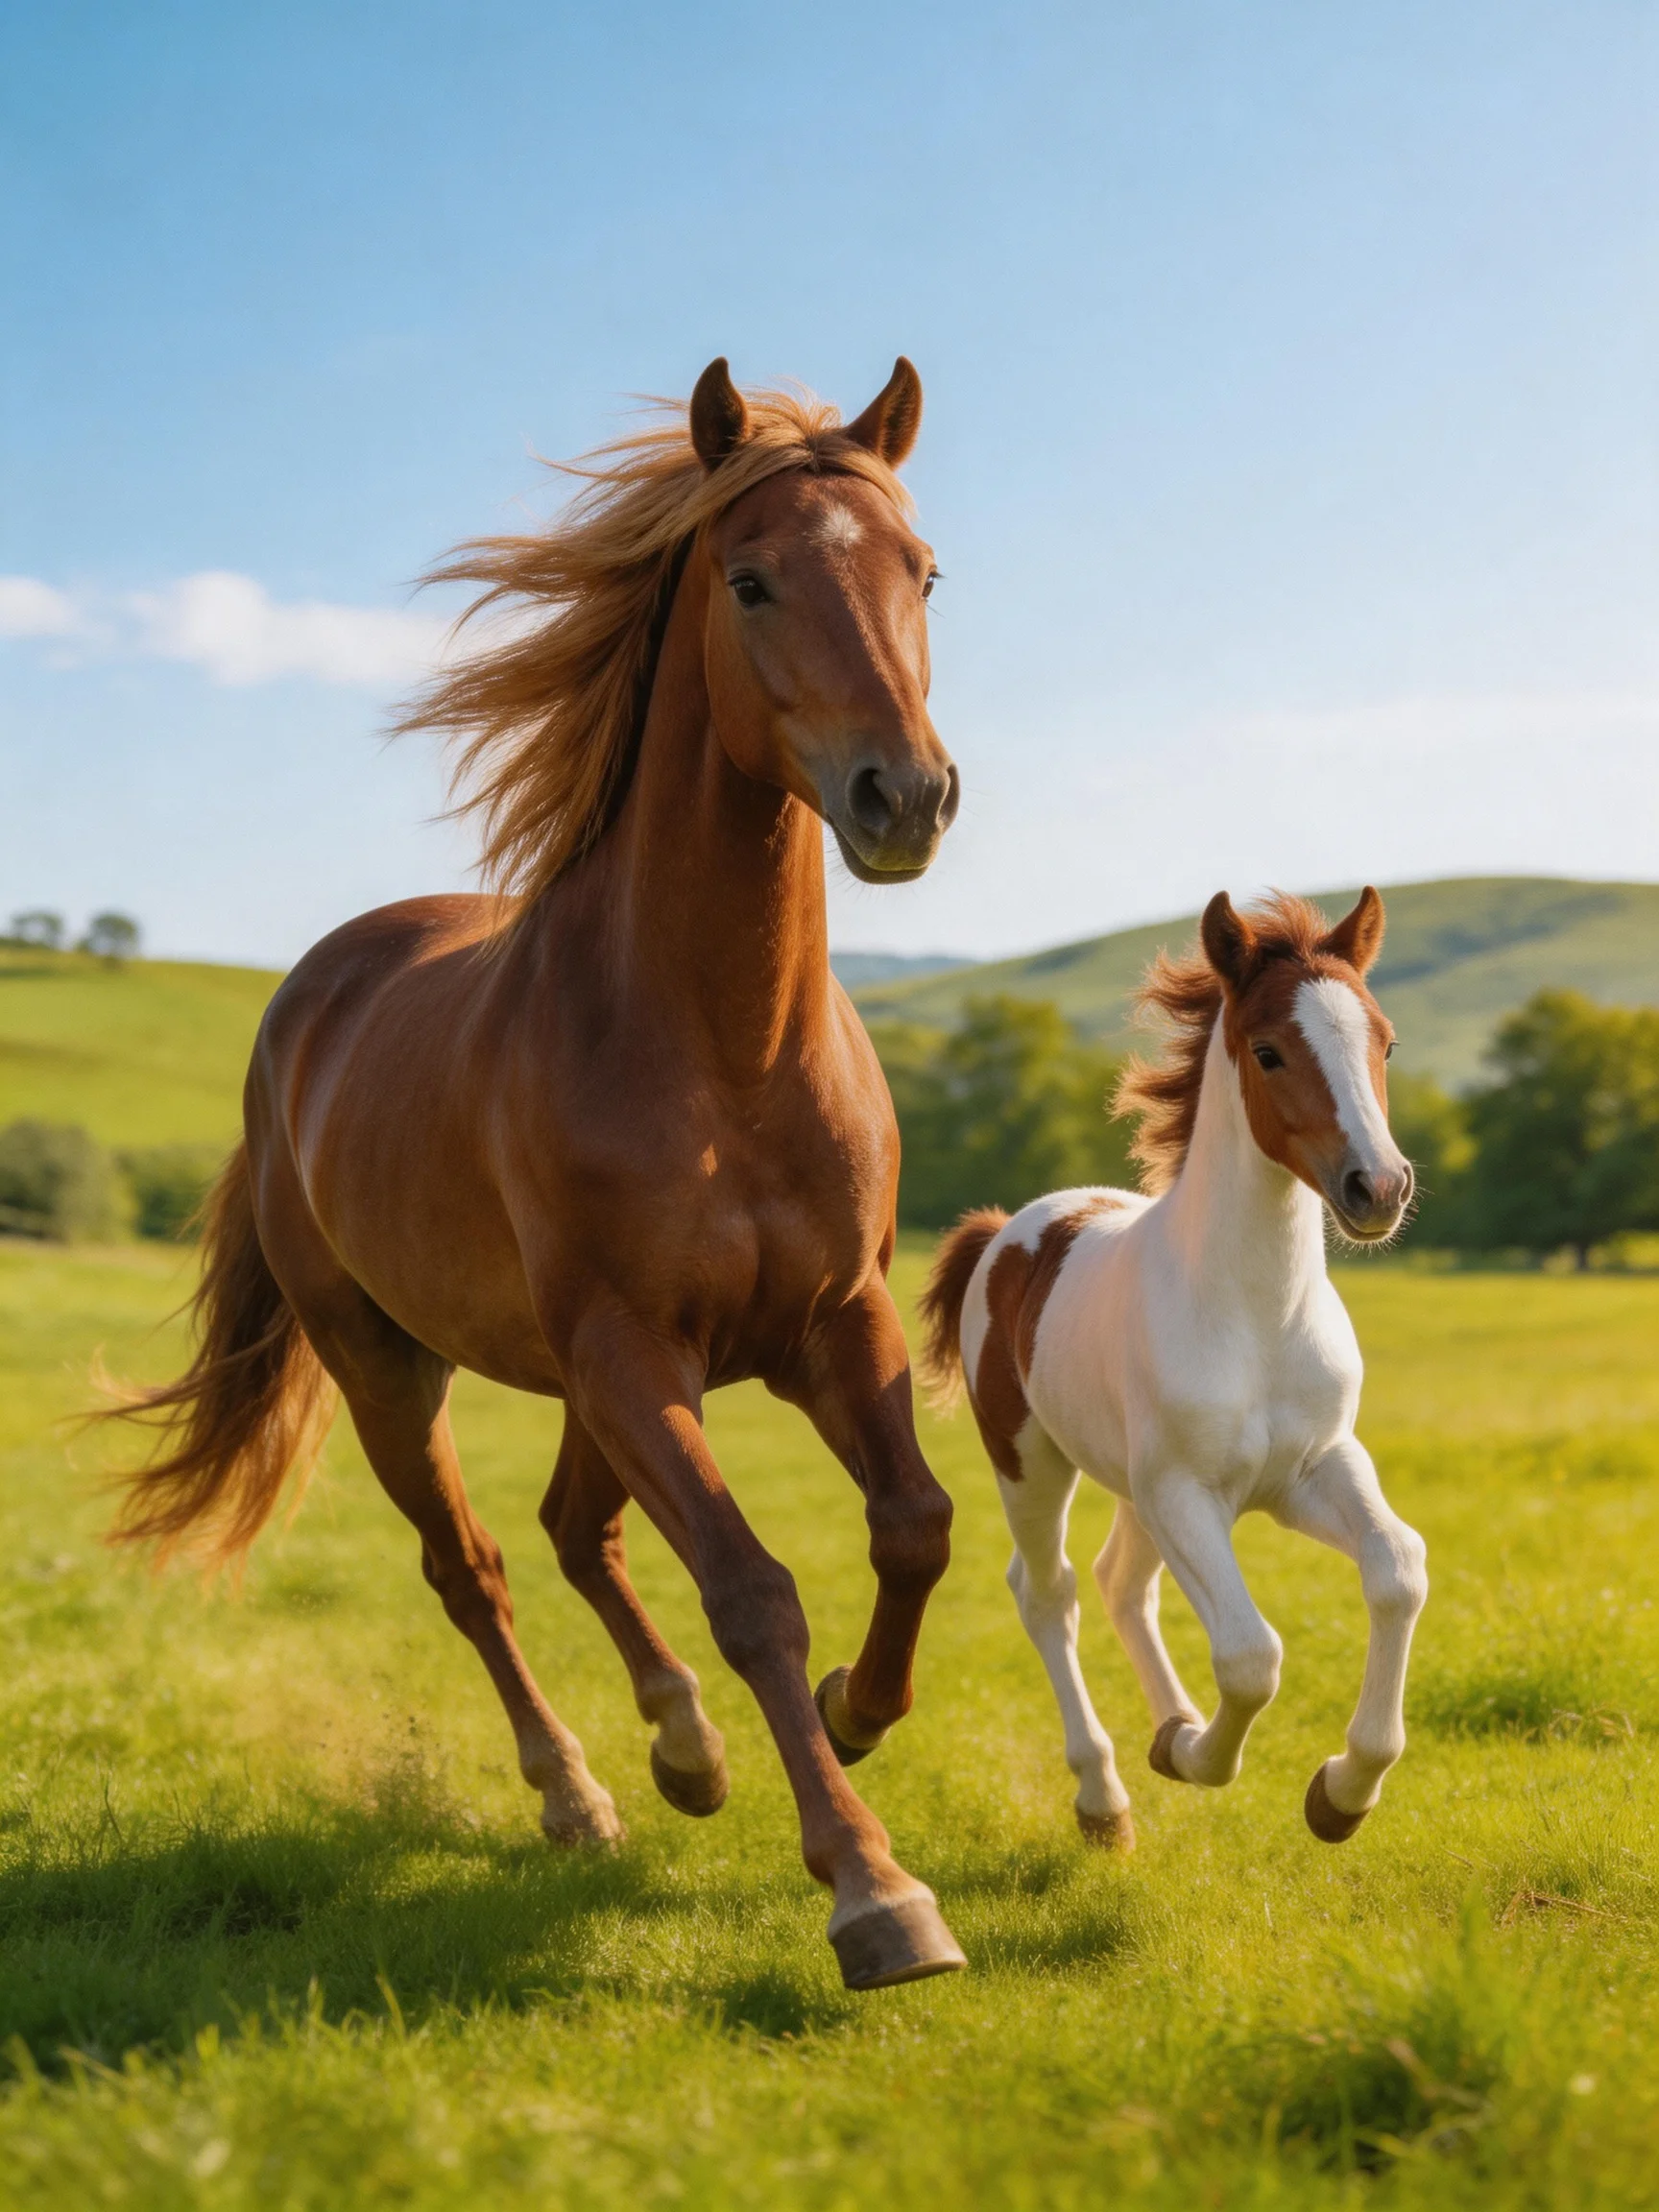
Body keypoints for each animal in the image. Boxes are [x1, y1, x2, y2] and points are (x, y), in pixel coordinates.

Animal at [105, 358, 970, 1991]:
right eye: (751, 580)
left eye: (924, 569)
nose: (906, 799)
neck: (721, 1048)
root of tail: (308, 999)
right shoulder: (635, 1350)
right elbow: (752, 1590)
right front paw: (876, 1891)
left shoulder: (836, 1321)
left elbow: (914, 1524)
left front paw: (854, 1711)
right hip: (396, 1370)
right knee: (480, 1568)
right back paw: (578, 1792)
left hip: (588, 1383)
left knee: (581, 1534)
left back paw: (684, 1750)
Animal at [918, 889, 1428, 1852]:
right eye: (1268, 1050)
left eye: (1384, 1041)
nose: (1377, 1188)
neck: (1258, 1316)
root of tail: (1007, 1230)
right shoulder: (1188, 1494)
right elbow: (1251, 1654)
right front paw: (1197, 1756)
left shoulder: (1315, 1470)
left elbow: (1398, 1570)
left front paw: (1343, 1793)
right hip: (1033, 1466)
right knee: (1051, 1593)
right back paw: (1105, 1797)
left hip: (1131, 1489)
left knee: (1120, 1583)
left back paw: (1164, 1728)